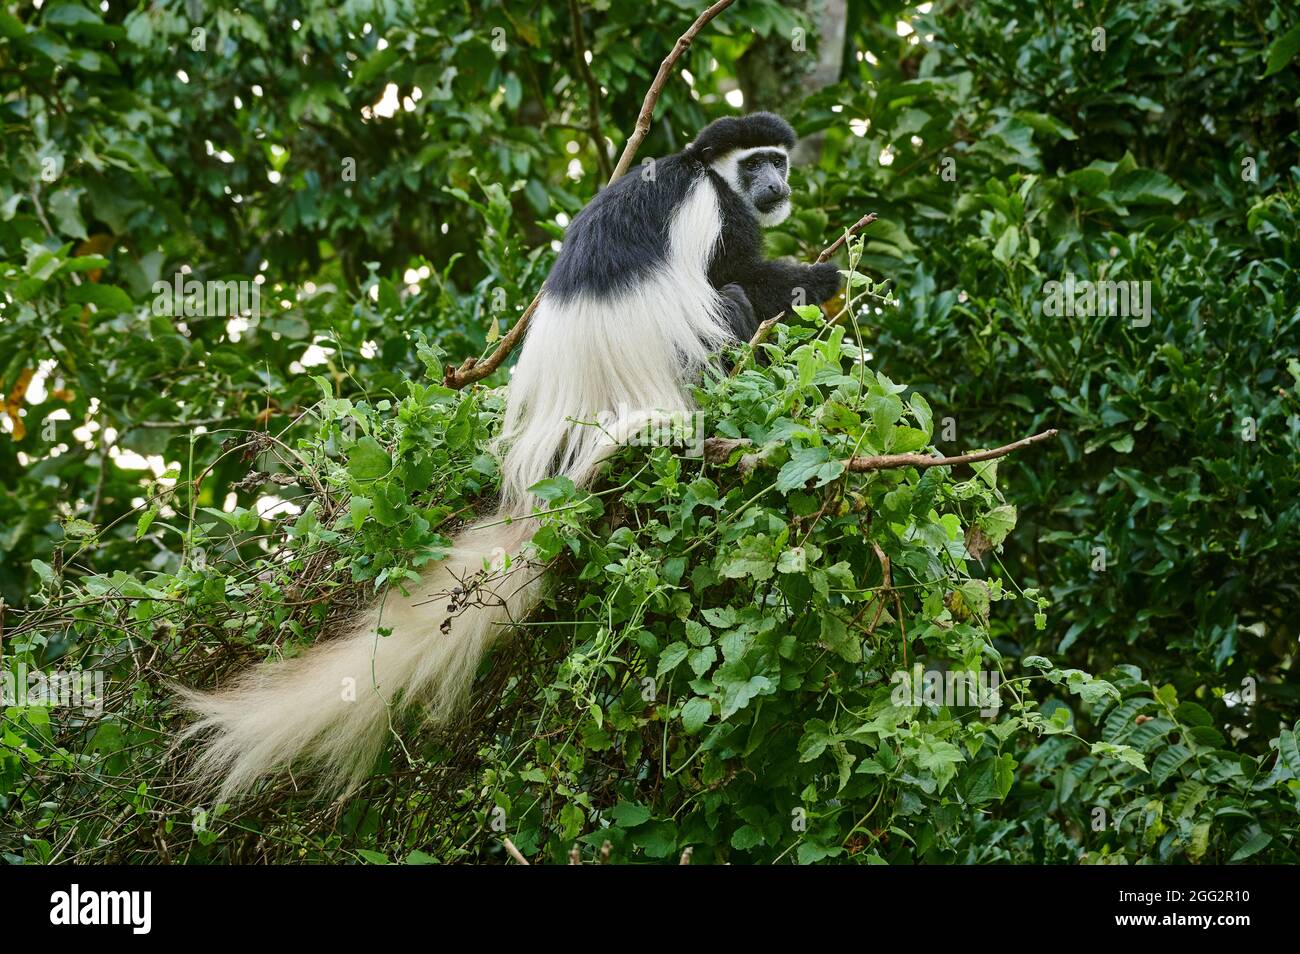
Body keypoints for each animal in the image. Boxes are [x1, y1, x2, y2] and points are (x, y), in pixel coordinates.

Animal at [178, 113, 837, 800]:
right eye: (758, 163)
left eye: (779, 162)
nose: (775, 184)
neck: (704, 168)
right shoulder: (718, 210)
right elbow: (741, 272)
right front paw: (824, 279)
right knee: (727, 299)